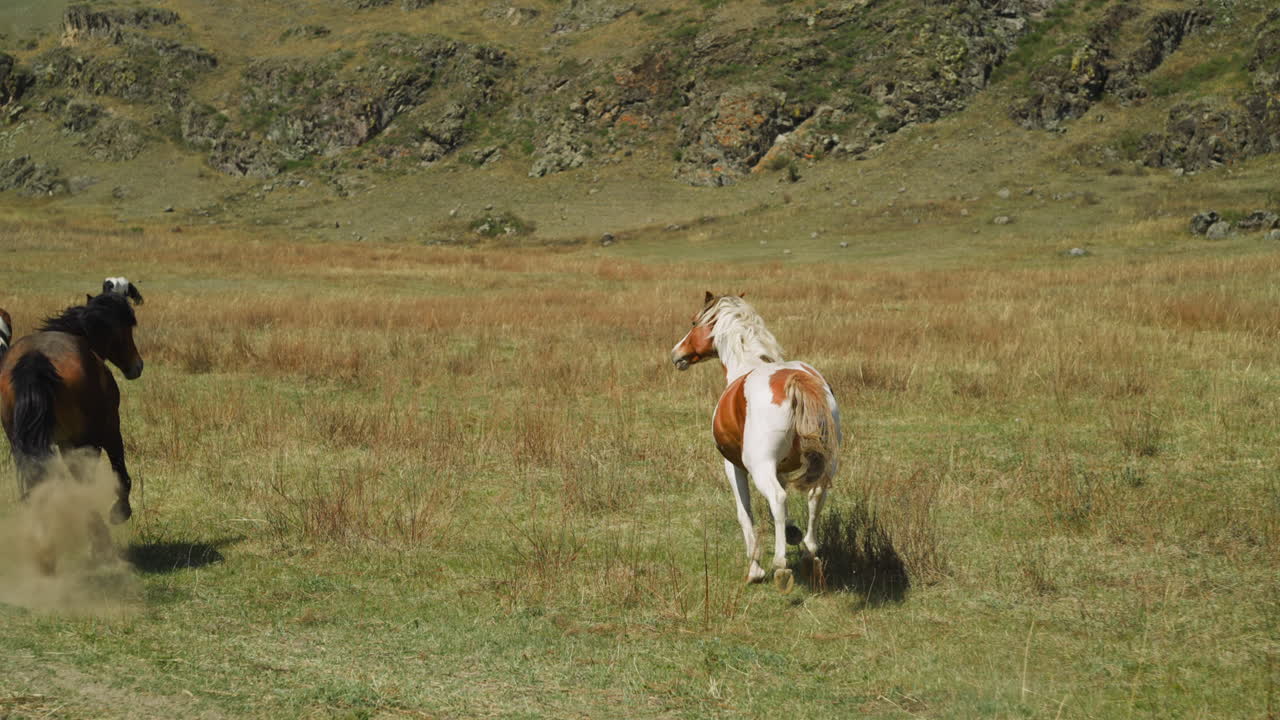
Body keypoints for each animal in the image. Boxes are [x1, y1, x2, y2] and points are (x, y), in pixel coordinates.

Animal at [0, 292, 144, 530]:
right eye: (126, 329)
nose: (137, 366)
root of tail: (35, 361)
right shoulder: (110, 429)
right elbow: (121, 474)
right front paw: (120, 512)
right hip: (82, 444)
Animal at [671, 292, 841, 590]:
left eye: (694, 322)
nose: (676, 354)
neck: (747, 365)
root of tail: (794, 380)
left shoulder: (734, 467)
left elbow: (745, 513)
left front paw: (754, 570)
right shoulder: (781, 468)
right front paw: (792, 532)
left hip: (760, 467)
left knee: (777, 498)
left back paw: (780, 566)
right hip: (825, 464)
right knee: (815, 496)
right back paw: (810, 554)